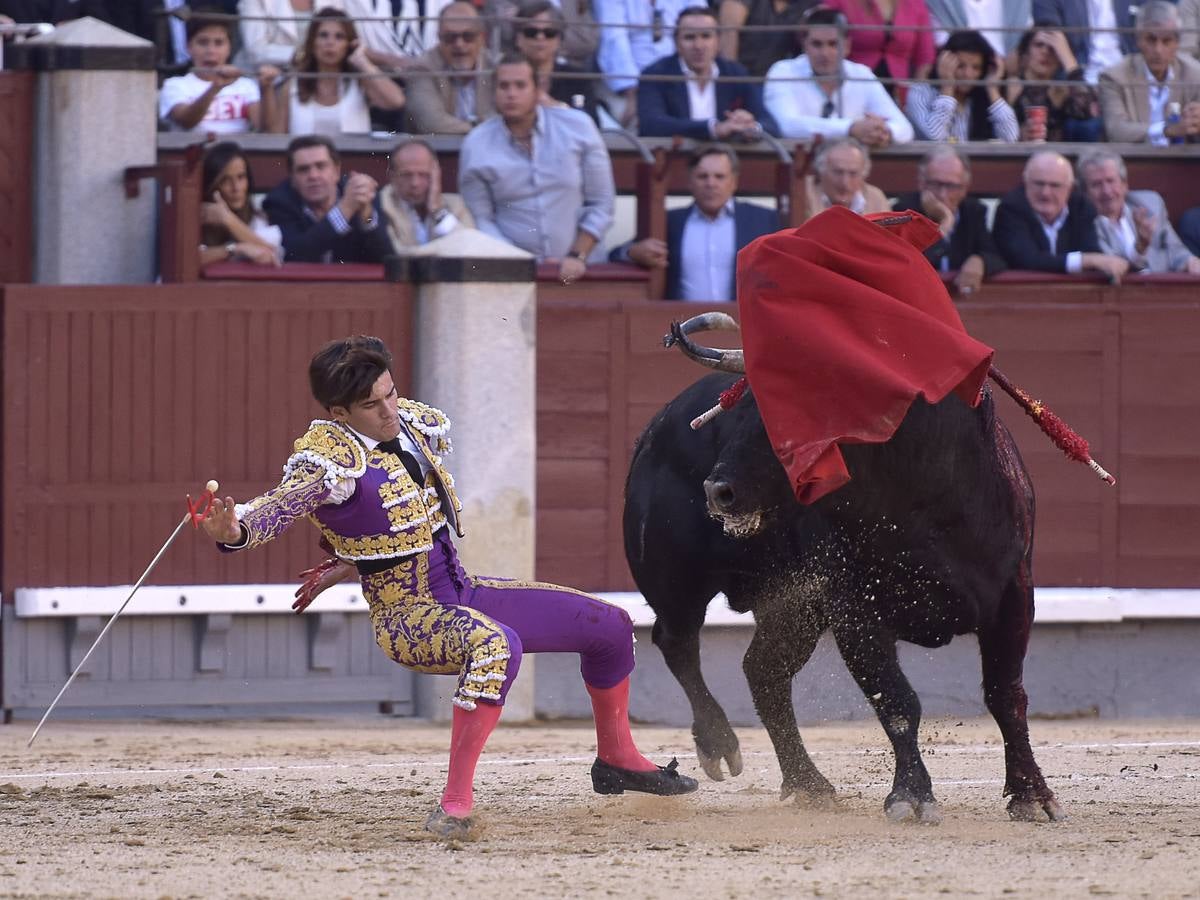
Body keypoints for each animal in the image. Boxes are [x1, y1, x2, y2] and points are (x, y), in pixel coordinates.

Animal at [624, 314, 1065, 830]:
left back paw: (808, 783)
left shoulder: (1014, 594)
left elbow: (1006, 695)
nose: (718, 490)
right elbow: (897, 700)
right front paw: (912, 796)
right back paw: (719, 743)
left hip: (792, 607)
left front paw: (1032, 794)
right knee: (677, 641)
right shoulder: (855, 607)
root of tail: (657, 424)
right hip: (677, 580)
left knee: (763, 670)